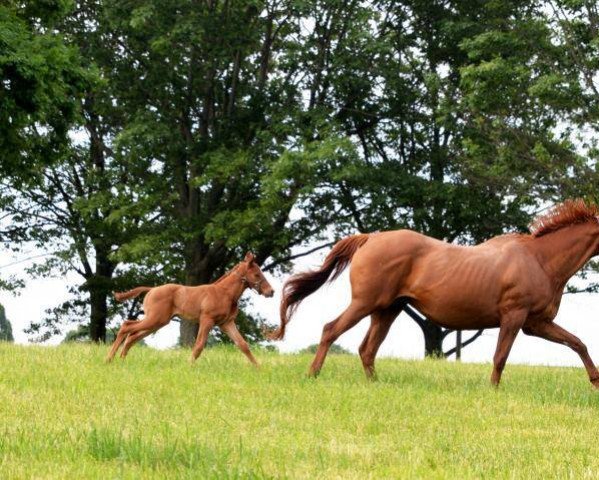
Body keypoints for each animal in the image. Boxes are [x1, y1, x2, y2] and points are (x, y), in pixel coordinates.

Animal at [106, 253, 276, 362]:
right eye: (257, 274)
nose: (271, 292)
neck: (225, 293)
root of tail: (151, 289)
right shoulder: (207, 320)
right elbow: (199, 346)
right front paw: (189, 366)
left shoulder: (226, 323)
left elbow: (243, 345)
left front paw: (259, 369)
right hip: (155, 319)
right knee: (127, 326)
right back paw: (109, 359)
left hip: (158, 322)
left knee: (132, 335)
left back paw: (121, 360)